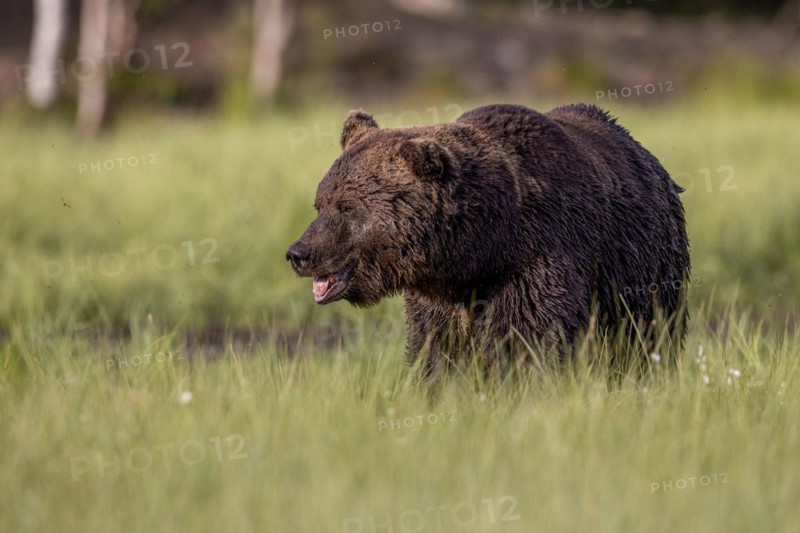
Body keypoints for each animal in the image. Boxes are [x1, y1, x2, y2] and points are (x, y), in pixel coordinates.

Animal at [286, 103, 690, 375]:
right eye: (320, 203)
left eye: (348, 207)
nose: (299, 253)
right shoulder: (439, 296)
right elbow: (437, 349)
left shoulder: (538, 261)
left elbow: (529, 339)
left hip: (645, 270)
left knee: (645, 337)